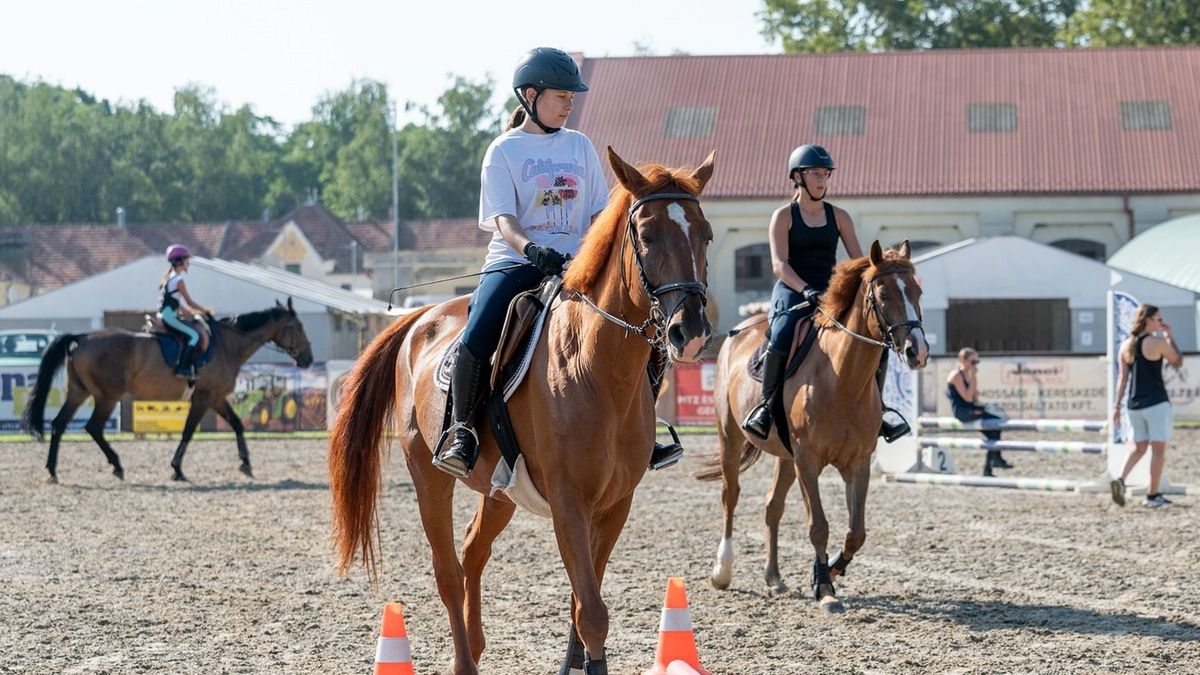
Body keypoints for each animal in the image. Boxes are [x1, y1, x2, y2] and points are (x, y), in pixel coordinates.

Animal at [25, 296, 314, 480]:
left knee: (59, 424)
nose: (308, 358)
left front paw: (246, 464)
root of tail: (82, 337)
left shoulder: (217, 397)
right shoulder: (204, 398)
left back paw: (52, 470)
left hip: (79, 392)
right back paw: (117, 465)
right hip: (107, 396)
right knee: (93, 427)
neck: (227, 344)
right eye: (298, 326)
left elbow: (237, 424)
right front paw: (177, 469)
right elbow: (188, 431)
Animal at [328, 148, 715, 672]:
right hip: (427, 474)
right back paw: (465, 660)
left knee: (472, 552)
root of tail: (421, 318)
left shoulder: (615, 504)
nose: (690, 332)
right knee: (447, 571)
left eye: (706, 234)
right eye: (648, 235)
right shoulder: (569, 503)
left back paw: (473, 645)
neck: (596, 367)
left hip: (499, 492)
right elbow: (592, 613)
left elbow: (580, 606)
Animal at [696, 240, 926, 610]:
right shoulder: (808, 461)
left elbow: (856, 532)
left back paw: (774, 578)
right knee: (730, 496)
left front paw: (830, 569)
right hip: (730, 437)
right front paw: (825, 589)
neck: (842, 380)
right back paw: (723, 570)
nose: (917, 351)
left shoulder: (857, 463)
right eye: (883, 294)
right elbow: (818, 525)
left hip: (785, 457)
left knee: (772, 507)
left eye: (917, 291)